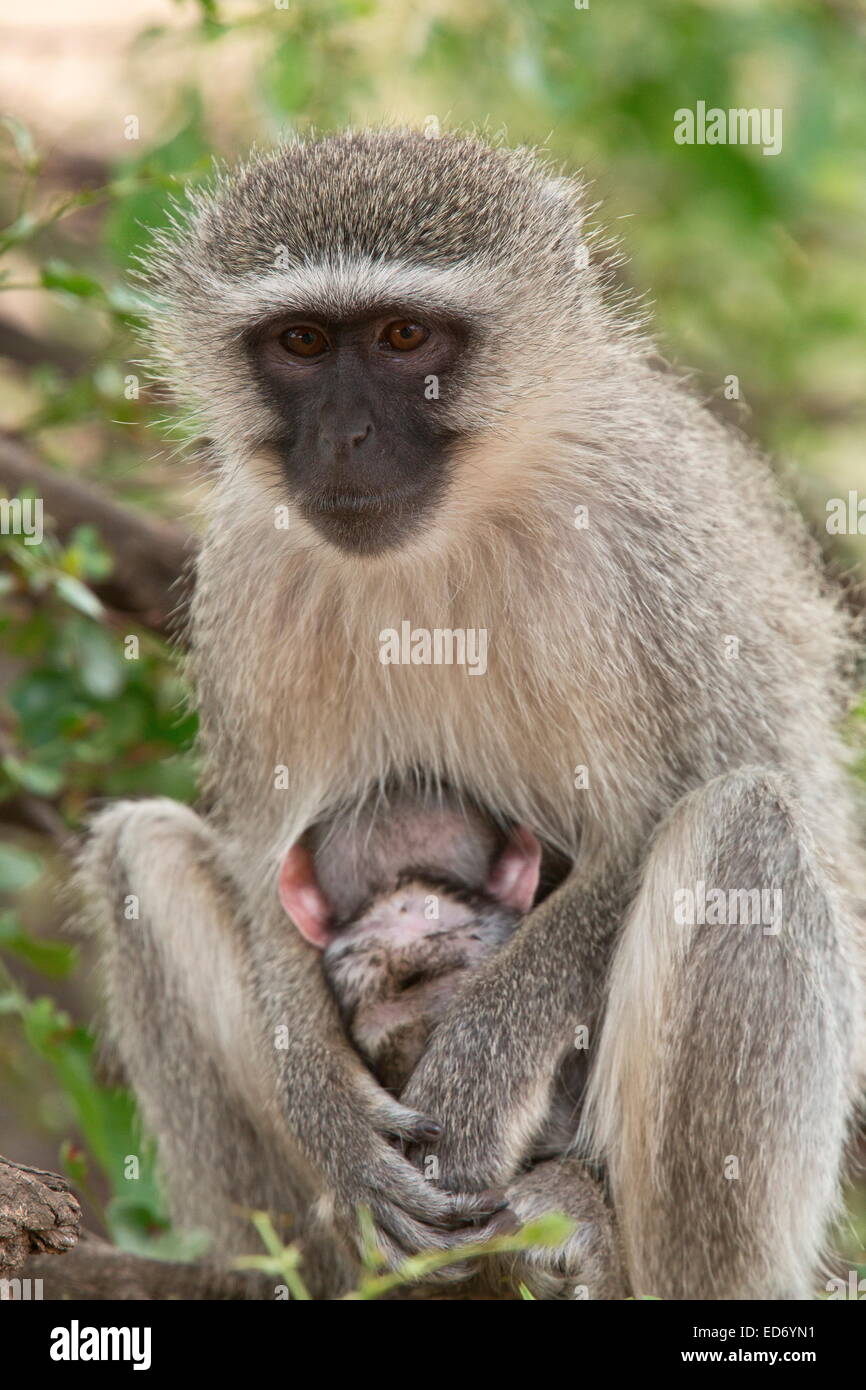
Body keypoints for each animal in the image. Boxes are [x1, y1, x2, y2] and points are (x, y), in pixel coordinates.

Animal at [79, 128, 865, 1301]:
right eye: (302, 342)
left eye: (405, 337)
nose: (347, 438)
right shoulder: (247, 567)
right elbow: (266, 866)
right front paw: (332, 1114)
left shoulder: (652, 540)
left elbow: (675, 816)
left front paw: (477, 1079)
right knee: (143, 850)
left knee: (745, 826)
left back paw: (600, 1234)